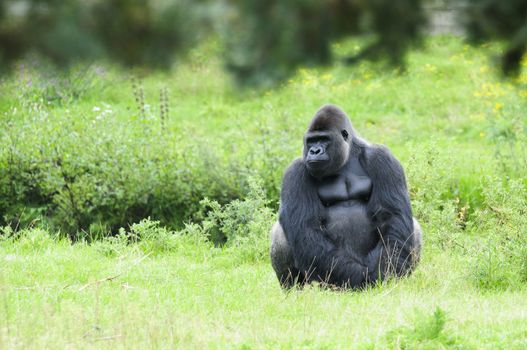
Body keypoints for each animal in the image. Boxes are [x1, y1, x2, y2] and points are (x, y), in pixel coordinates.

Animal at [270, 104, 422, 290]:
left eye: (324, 139)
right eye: (311, 141)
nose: (314, 151)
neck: (348, 155)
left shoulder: (383, 158)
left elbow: (391, 216)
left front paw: (385, 275)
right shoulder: (295, 171)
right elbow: (307, 226)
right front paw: (359, 278)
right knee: (280, 234)